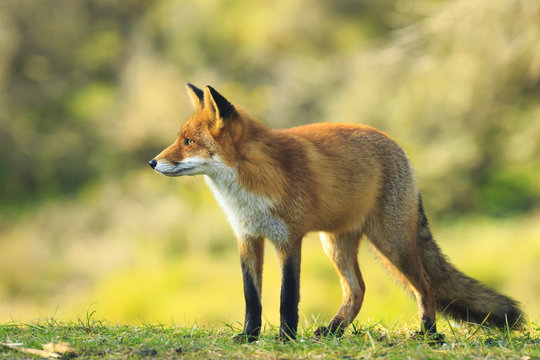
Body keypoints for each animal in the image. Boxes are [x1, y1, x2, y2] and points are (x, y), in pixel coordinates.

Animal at [150, 83, 520, 342]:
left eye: (188, 142)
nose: (152, 162)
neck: (248, 185)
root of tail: (398, 147)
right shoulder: (247, 238)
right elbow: (251, 297)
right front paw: (249, 336)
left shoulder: (289, 239)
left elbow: (288, 297)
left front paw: (285, 338)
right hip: (336, 244)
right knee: (358, 291)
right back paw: (333, 331)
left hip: (392, 244)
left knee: (425, 285)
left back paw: (428, 334)